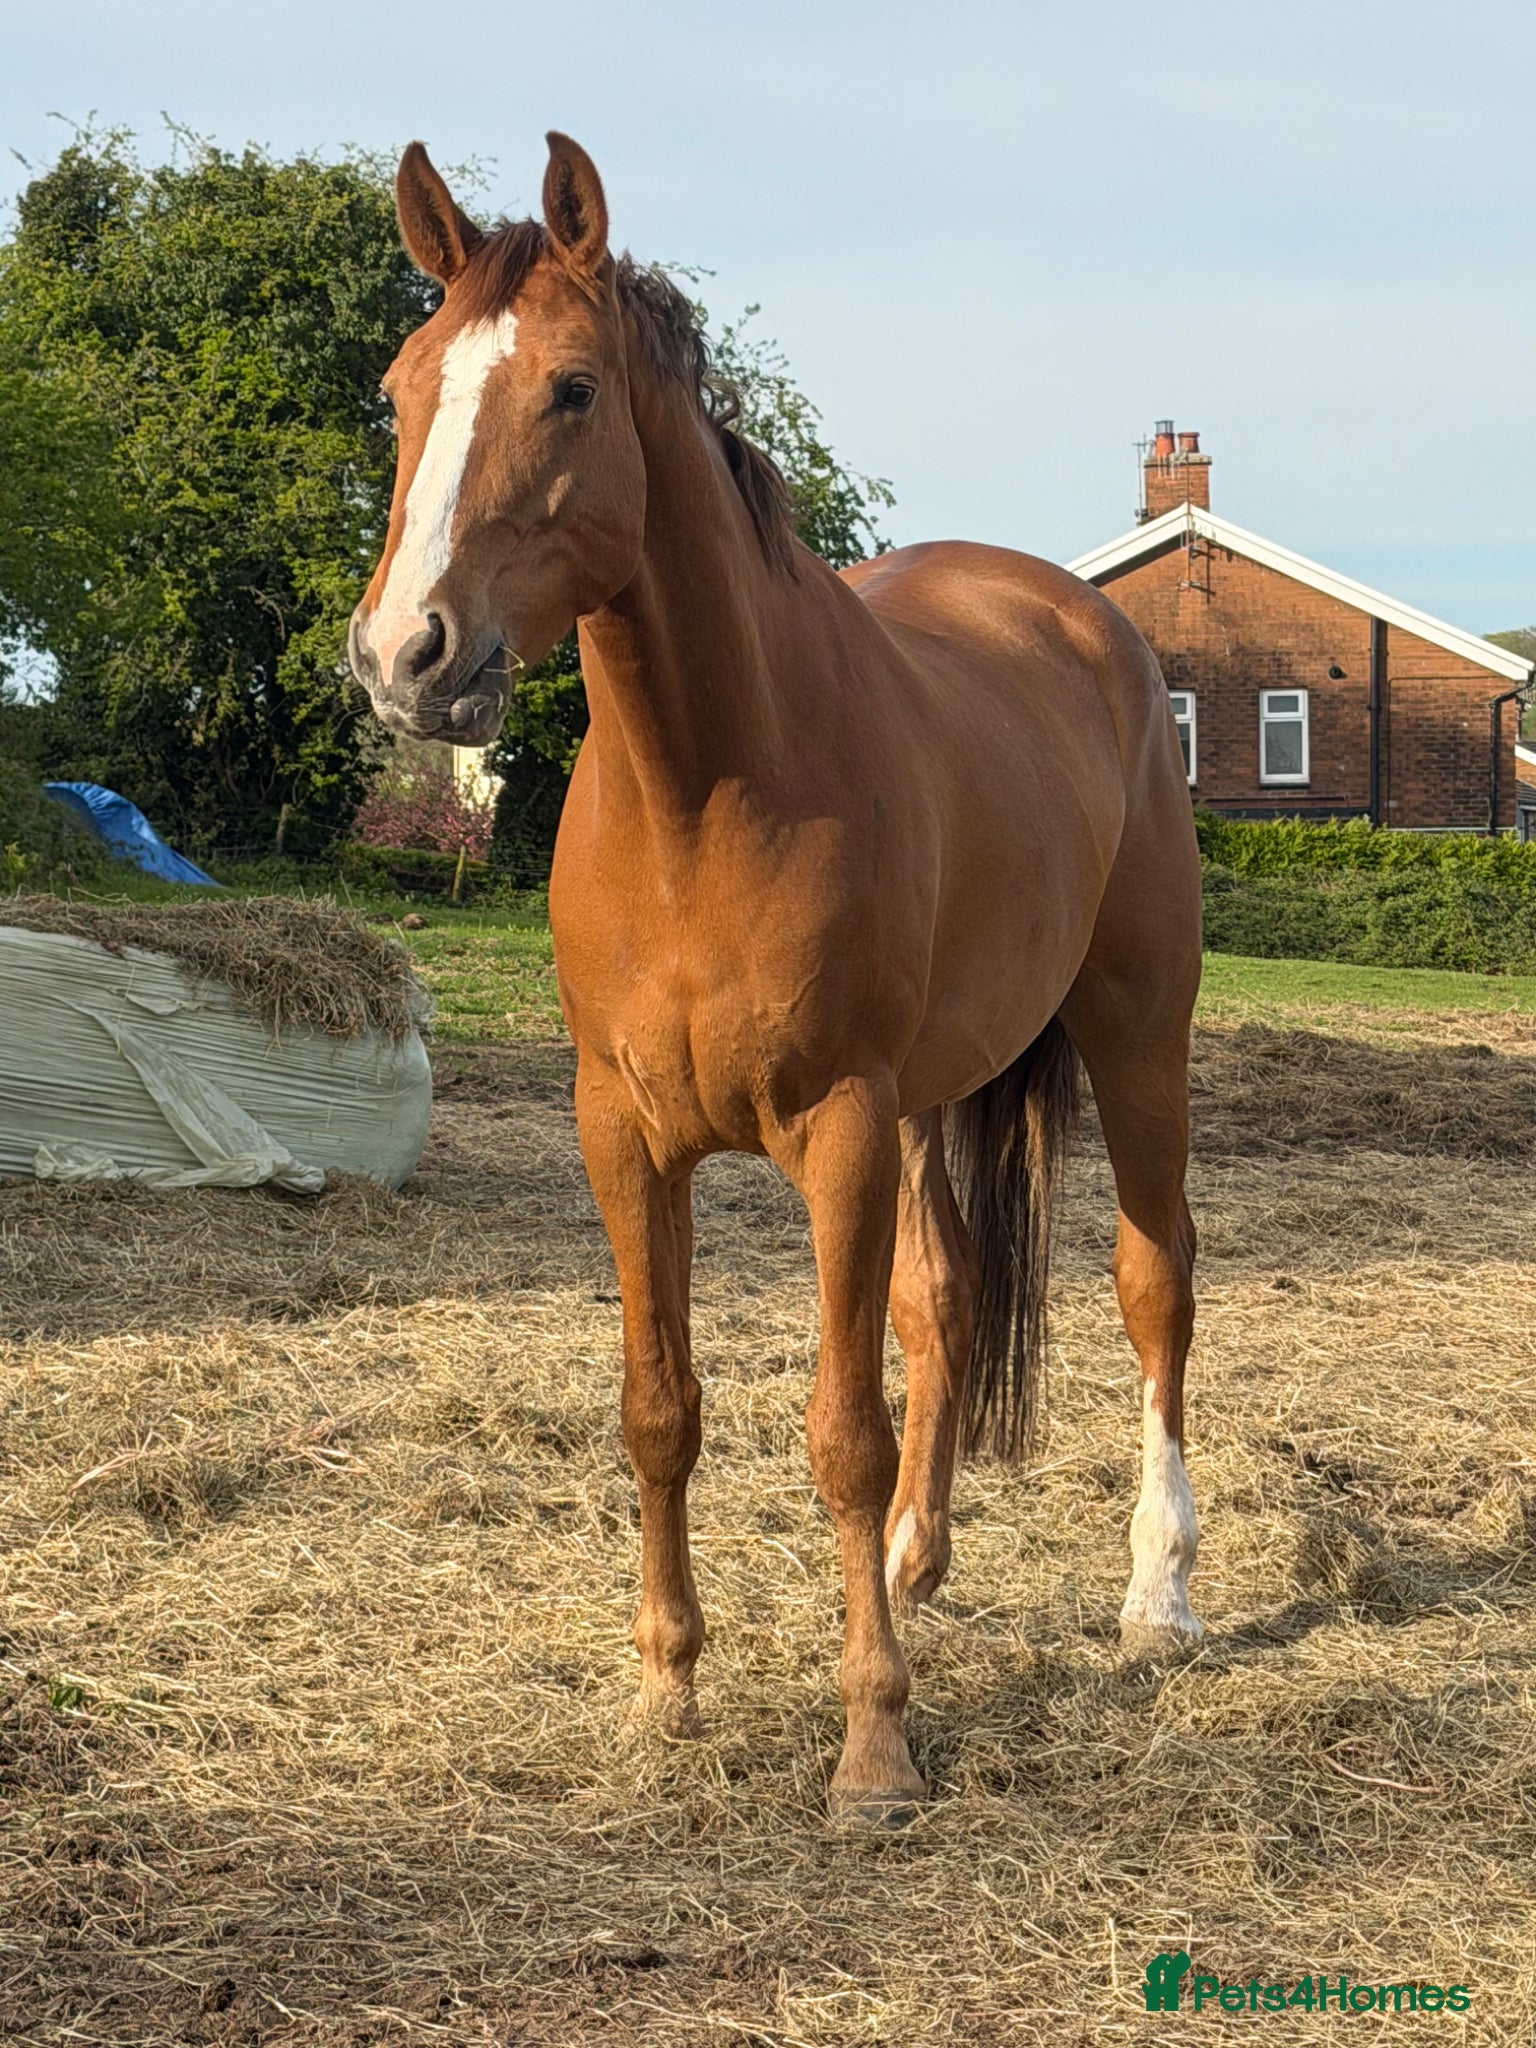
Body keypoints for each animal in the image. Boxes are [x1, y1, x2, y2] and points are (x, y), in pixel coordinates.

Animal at [349, 132, 1204, 1825]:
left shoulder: (842, 1130)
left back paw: (1159, 1593)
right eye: (405, 387)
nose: (406, 654)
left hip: (1138, 1042)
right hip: (943, 1095)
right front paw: (666, 1693)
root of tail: (1092, 631)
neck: (706, 799)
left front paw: (874, 1742)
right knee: (948, 1305)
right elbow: (659, 1411)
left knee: (1157, 1286)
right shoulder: (623, 1136)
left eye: (572, 391)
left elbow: (842, 1432)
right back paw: (919, 1563)